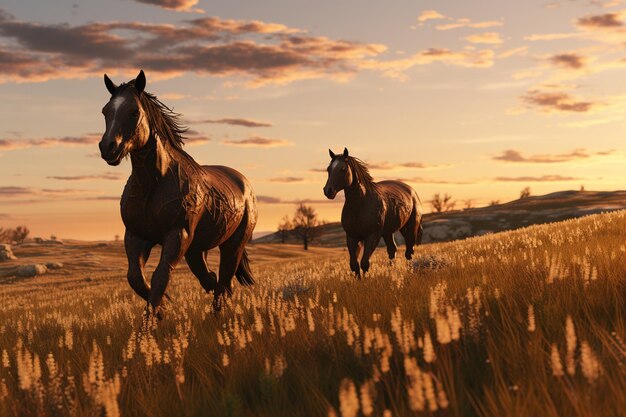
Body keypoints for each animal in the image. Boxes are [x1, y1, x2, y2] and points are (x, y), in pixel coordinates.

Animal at [98, 70, 255, 314]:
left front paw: (153, 316)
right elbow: (135, 277)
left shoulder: (177, 235)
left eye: (134, 111)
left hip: (233, 244)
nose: (108, 148)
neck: (154, 183)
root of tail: (244, 183)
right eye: (106, 111)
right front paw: (163, 307)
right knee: (212, 279)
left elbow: (160, 275)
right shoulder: (136, 236)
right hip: (196, 250)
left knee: (224, 281)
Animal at [324, 148, 422, 278]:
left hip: (410, 228)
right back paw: (391, 272)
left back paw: (409, 271)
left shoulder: (372, 236)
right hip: (388, 232)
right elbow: (354, 265)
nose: (328, 191)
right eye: (328, 169)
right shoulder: (352, 237)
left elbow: (364, 263)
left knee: (409, 252)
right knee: (392, 250)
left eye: (343, 169)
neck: (360, 204)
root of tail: (412, 191)